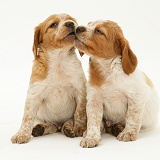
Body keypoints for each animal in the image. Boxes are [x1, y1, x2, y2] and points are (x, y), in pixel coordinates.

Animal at [10, 13, 87, 144]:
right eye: (53, 24)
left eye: (72, 20)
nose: (71, 23)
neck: (59, 61)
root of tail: (59, 124)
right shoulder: (34, 95)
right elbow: (27, 118)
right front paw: (21, 134)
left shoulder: (80, 91)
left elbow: (79, 113)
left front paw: (79, 129)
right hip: (42, 118)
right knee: (51, 126)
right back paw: (40, 129)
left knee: (66, 123)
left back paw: (68, 128)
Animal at [74, 20, 159, 148]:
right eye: (88, 24)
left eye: (99, 31)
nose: (78, 28)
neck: (108, 71)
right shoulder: (94, 100)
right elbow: (93, 121)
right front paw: (91, 137)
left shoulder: (137, 96)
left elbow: (132, 117)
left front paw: (128, 133)